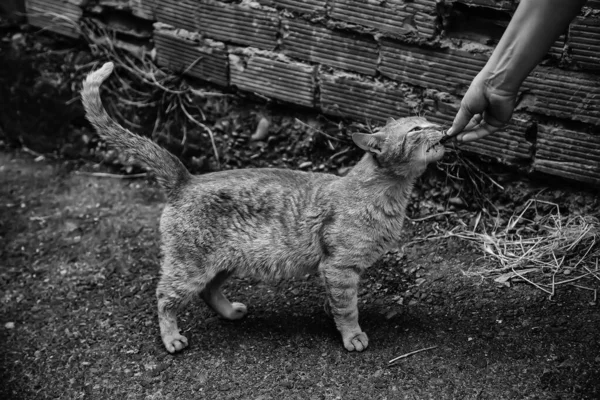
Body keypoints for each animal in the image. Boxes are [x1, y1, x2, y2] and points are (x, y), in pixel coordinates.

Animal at [81, 61, 446, 354]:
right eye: (416, 129)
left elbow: (338, 304)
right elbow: (347, 308)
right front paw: (351, 335)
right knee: (163, 297)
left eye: (427, 121)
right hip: (190, 267)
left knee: (208, 291)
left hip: (223, 262)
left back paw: (231, 313)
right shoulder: (338, 267)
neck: (387, 195)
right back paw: (171, 337)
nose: (443, 127)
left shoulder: (336, 271)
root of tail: (185, 179)